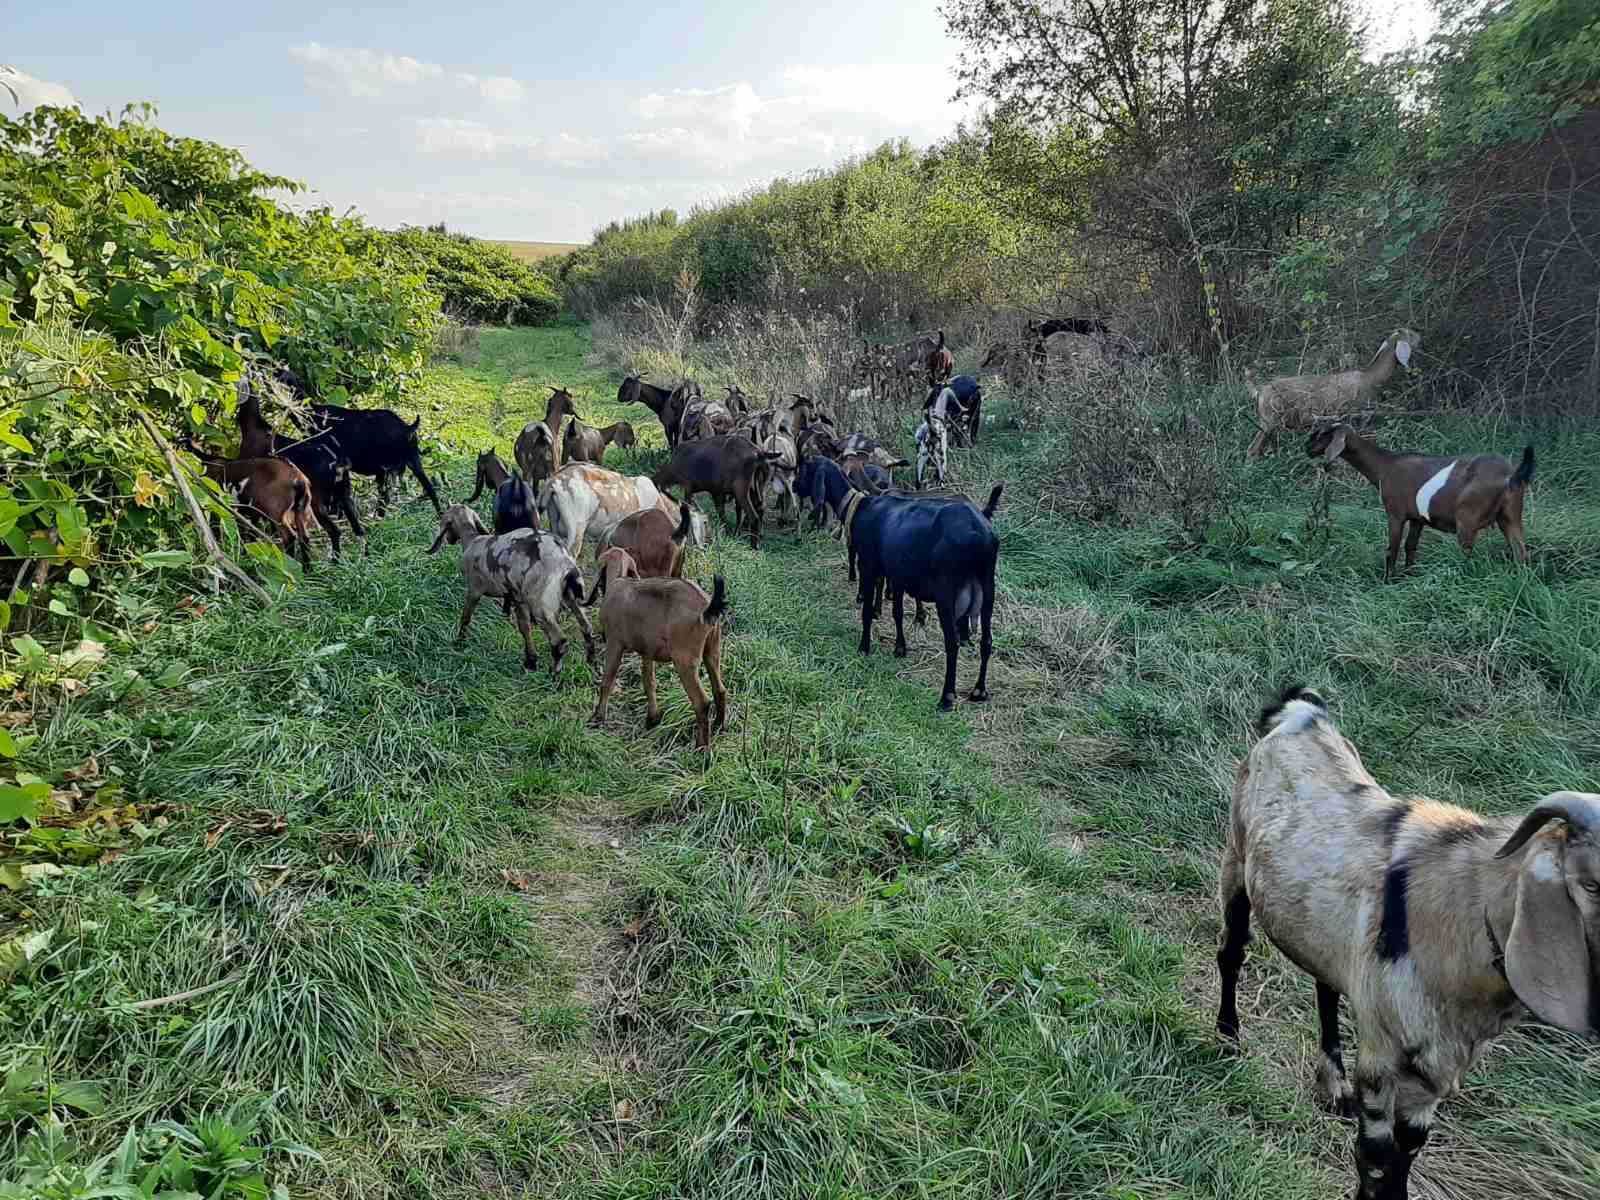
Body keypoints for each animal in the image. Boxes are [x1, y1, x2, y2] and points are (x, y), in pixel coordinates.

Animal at [585, 547, 729, 752]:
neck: (618, 583)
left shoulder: (614, 643)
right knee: (720, 690)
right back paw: (719, 726)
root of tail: (706, 607)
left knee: (702, 702)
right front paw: (652, 719)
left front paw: (598, 718)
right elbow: (649, 682)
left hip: (685, 661)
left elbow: (607, 681)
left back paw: (702, 749)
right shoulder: (647, 651)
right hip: (712, 651)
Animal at [646, 438, 777, 550]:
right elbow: (721, 512)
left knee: (753, 515)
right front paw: (730, 533)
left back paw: (754, 545)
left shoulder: (690, 487)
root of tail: (759, 453)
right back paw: (756, 536)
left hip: (742, 491)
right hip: (757, 489)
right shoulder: (715, 492)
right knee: (761, 509)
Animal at [1216, 684, 1593, 1200]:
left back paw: (1332, 1083)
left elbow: (1406, 1154)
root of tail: (1303, 714)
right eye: (1591, 883)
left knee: (1324, 983)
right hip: (1236, 858)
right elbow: (1376, 1159)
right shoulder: (1382, 1056)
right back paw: (1227, 1037)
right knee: (1232, 951)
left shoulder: (1435, 1069)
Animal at [1241, 329, 1420, 460]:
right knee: (1252, 449)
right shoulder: (1362, 415)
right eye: (1409, 335)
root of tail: (1260, 390)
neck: (1371, 376)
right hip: (1269, 421)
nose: (1420, 337)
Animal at [1312, 422, 1536, 579]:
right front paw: (1409, 575)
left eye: (1322, 434)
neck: (1385, 466)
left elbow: (1392, 548)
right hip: (1511, 516)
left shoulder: (1395, 514)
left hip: (1467, 519)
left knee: (1467, 554)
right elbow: (1410, 546)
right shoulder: (1417, 519)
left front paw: (1387, 580)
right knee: (1521, 552)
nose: (1306, 447)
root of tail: (1510, 475)